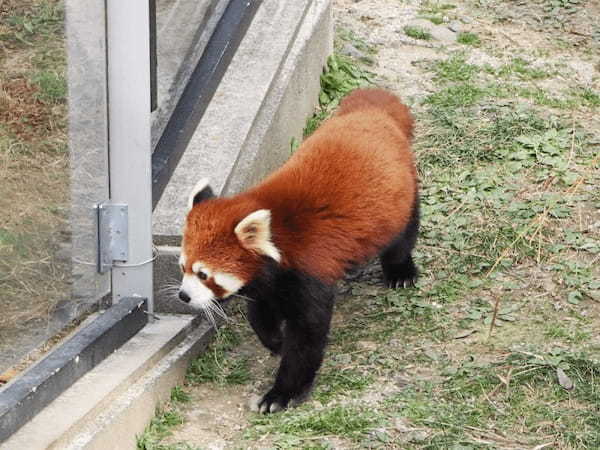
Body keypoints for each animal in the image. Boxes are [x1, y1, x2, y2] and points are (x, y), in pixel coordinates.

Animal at [180, 89, 420, 414]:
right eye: (183, 267)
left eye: (203, 274)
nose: (184, 296)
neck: (277, 238)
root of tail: (372, 113)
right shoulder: (268, 281)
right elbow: (261, 313)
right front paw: (274, 341)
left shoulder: (308, 270)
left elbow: (307, 335)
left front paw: (280, 394)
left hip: (400, 199)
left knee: (402, 236)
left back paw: (400, 271)